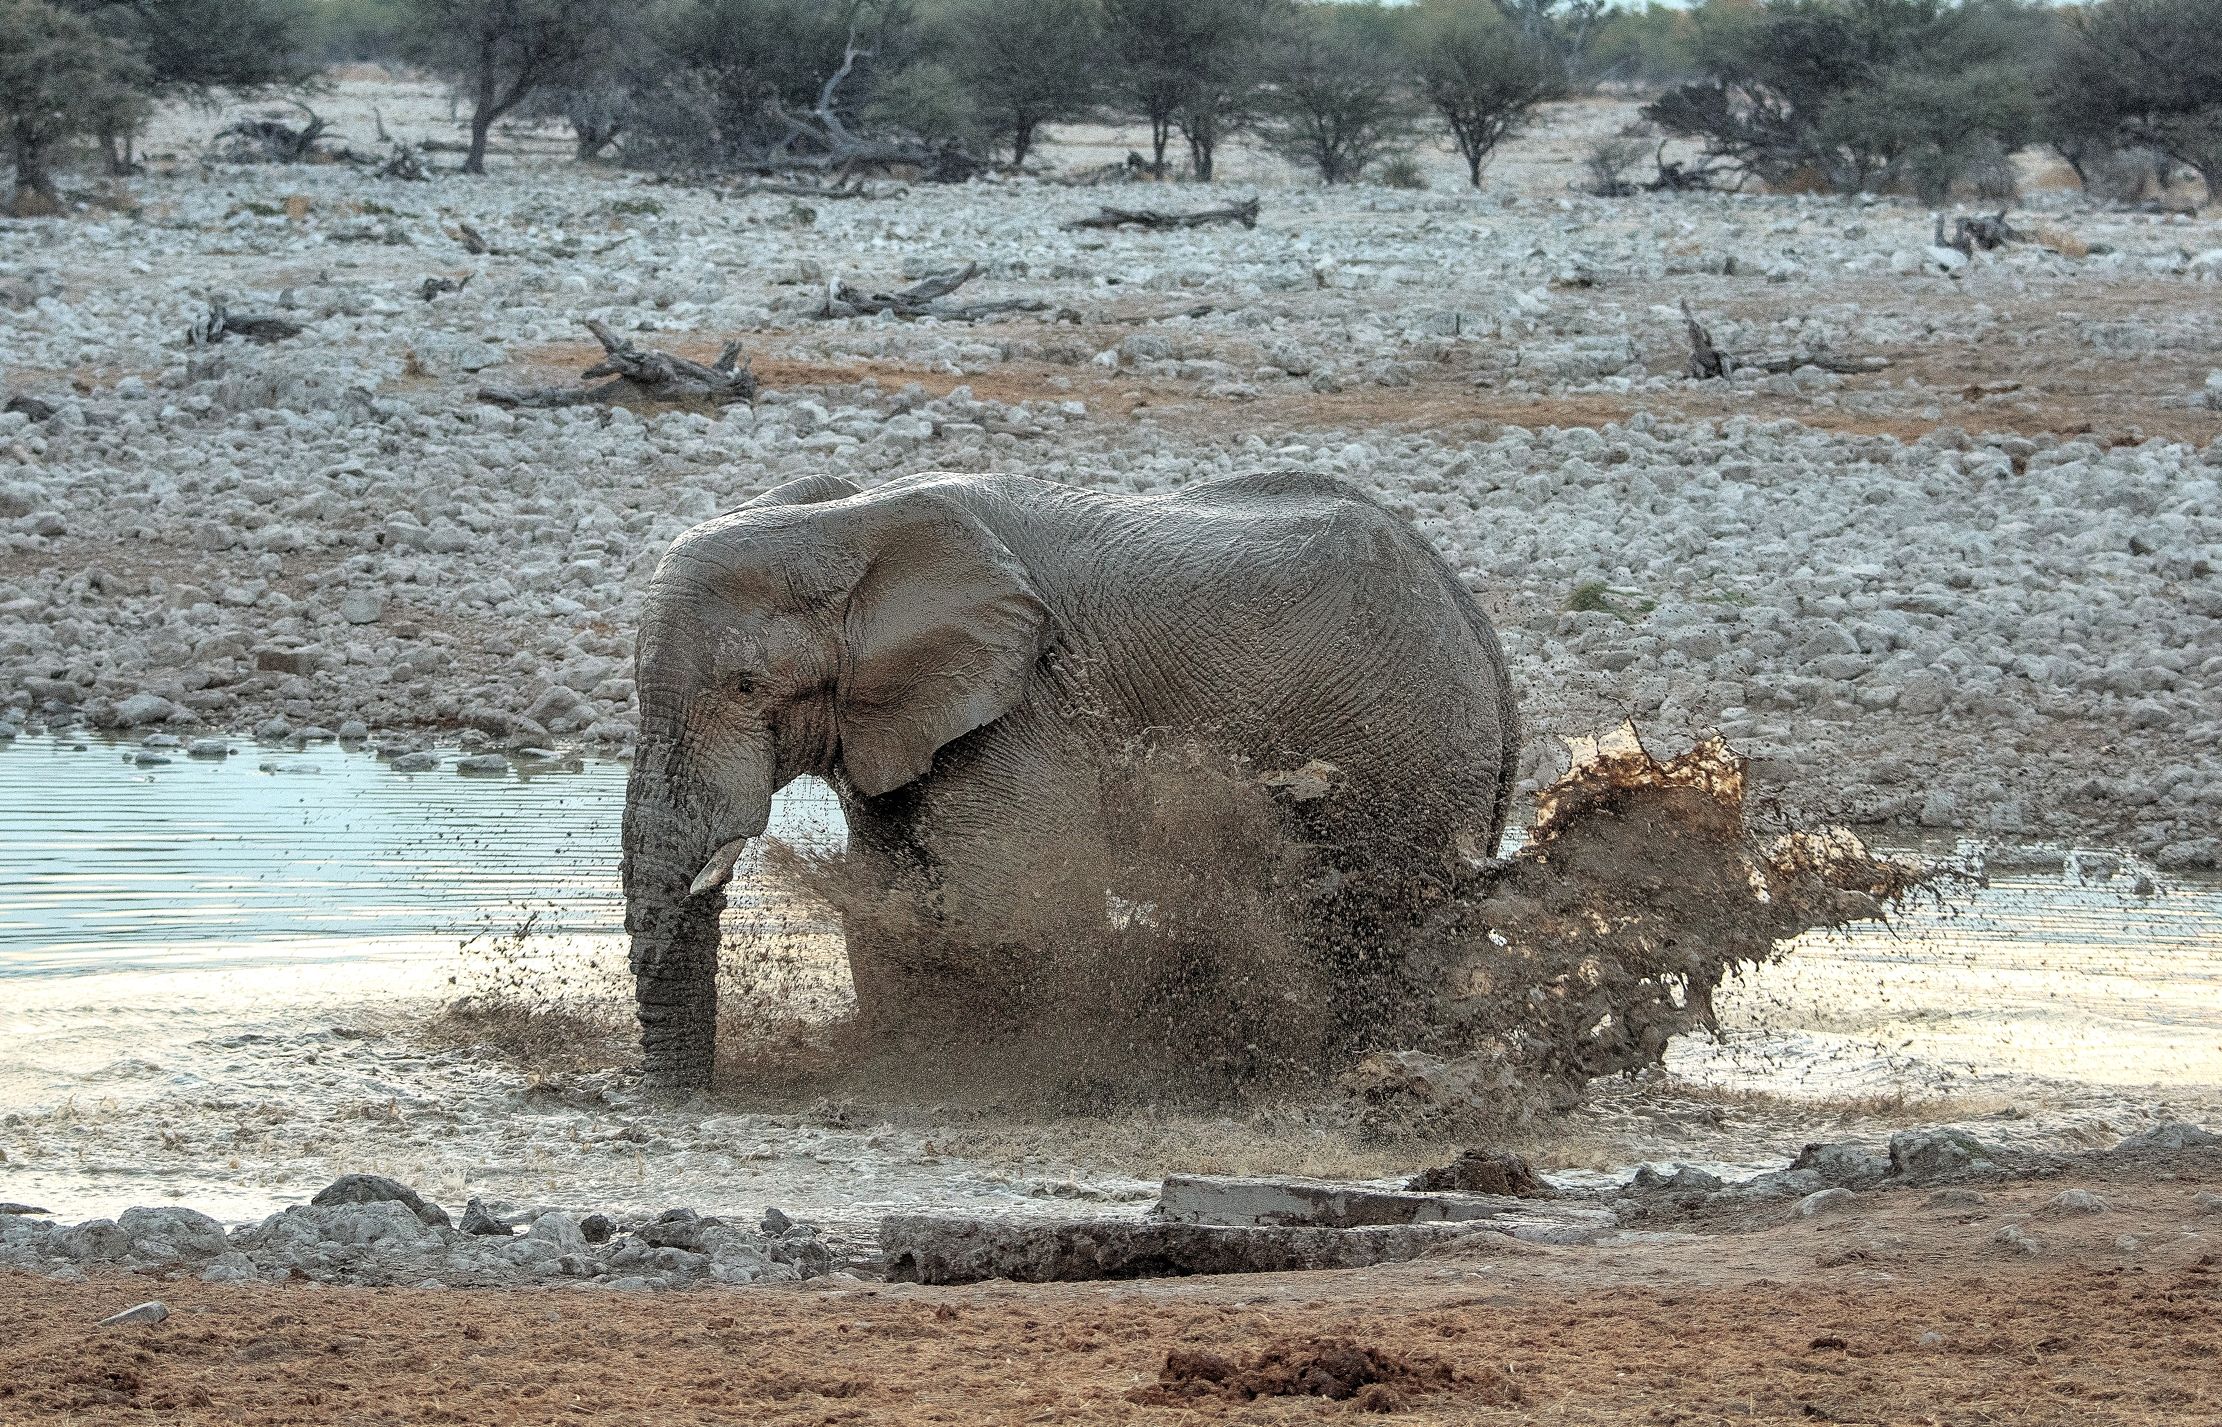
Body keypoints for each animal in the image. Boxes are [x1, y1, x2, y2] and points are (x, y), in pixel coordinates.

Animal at [621, 468, 1520, 1088]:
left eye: (744, 687)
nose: (682, 1099)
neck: (848, 520)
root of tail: (1475, 619)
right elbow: (884, 889)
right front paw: (907, 1064)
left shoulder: (1027, 708)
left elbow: (1007, 900)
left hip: (1405, 746)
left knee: (1384, 911)